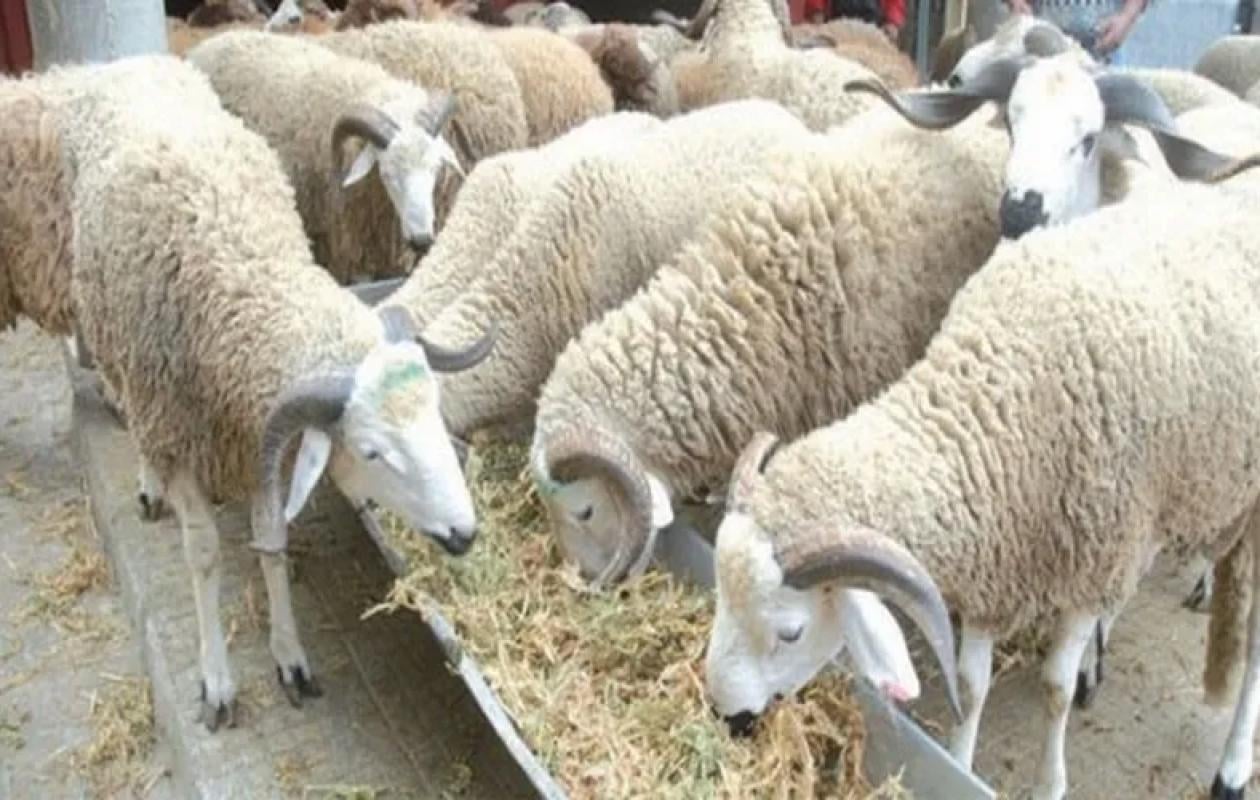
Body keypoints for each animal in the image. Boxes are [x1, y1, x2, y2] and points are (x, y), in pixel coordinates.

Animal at [701, 178, 1260, 800]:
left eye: (791, 632)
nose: (726, 717)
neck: (993, 403)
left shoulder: (1093, 562)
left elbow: (1055, 689)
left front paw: (1050, 782)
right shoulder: (997, 560)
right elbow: (970, 687)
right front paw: (960, 763)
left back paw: (1233, 766)